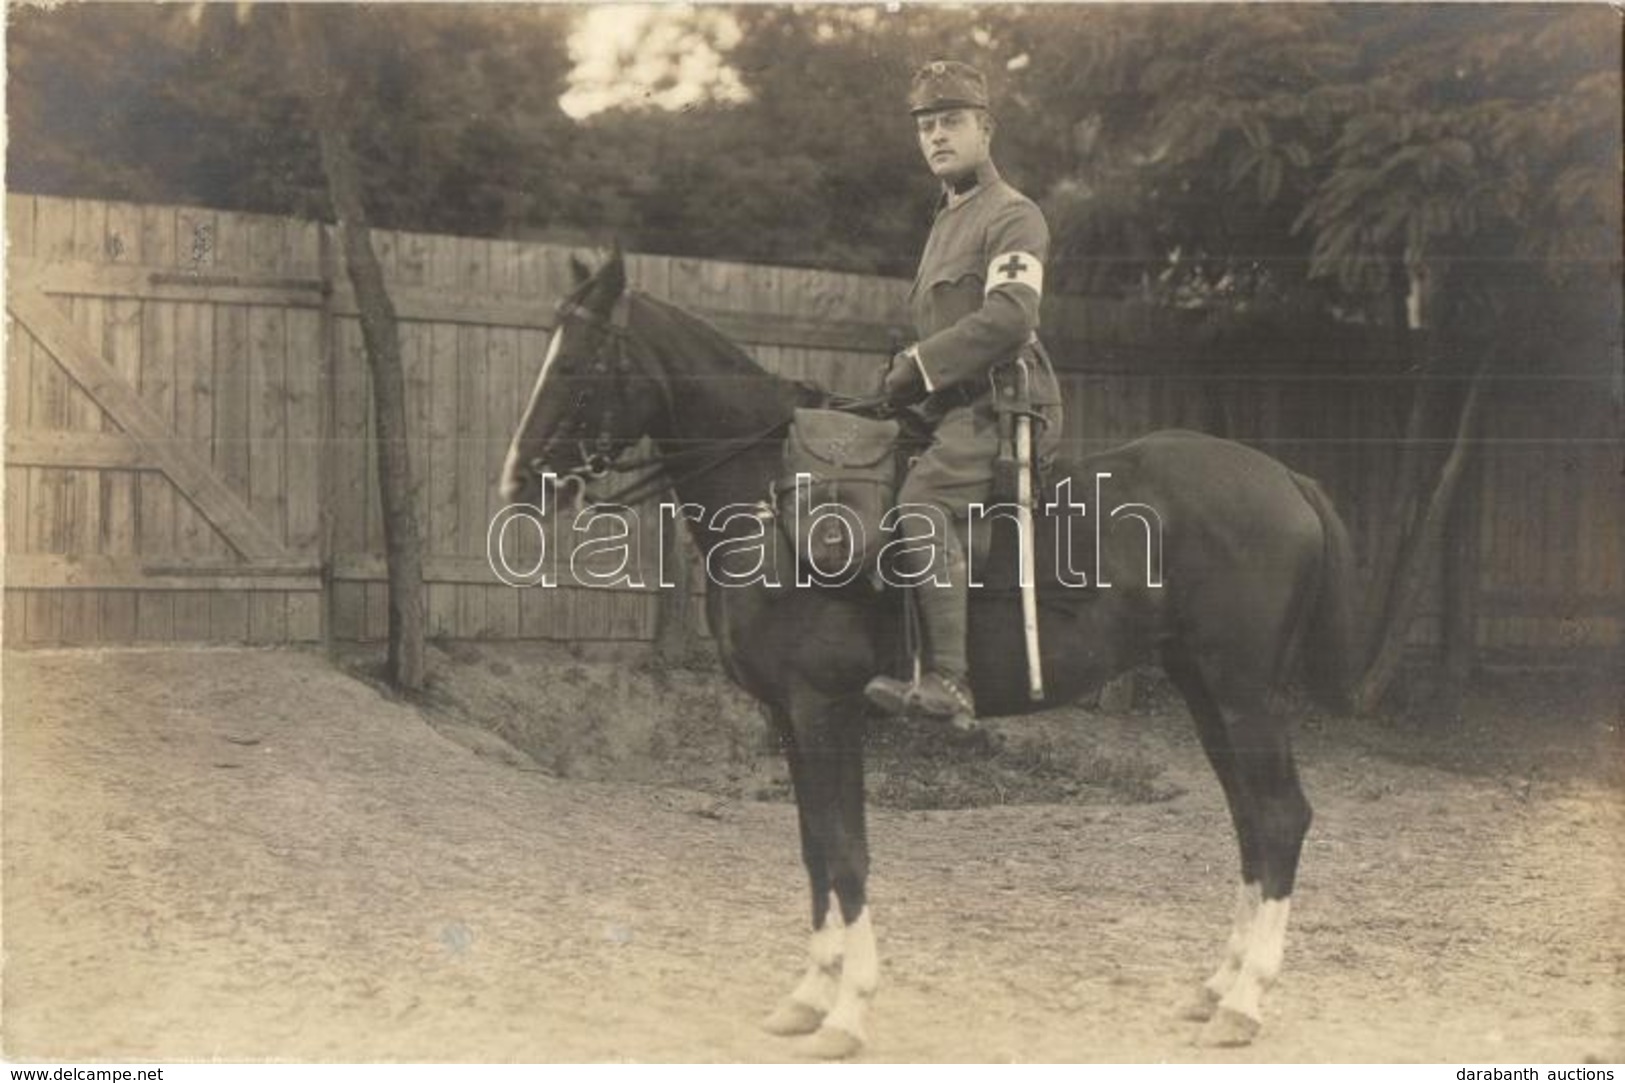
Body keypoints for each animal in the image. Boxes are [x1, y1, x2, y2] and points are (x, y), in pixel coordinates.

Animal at [497, 248, 1358, 1047]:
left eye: (575, 361)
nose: (520, 481)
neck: (770, 496)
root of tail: (1286, 478)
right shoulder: (787, 718)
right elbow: (815, 847)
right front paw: (807, 995)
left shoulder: (824, 708)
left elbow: (846, 849)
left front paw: (847, 1010)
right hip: (1204, 691)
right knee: (1248, 820)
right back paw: (1216, 987)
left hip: (1243, 693)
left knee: (1279, 816)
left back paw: (1244, 1002)